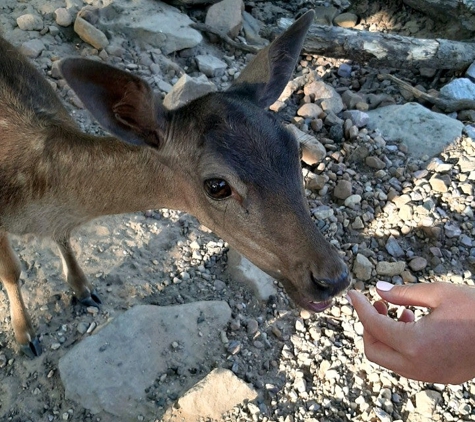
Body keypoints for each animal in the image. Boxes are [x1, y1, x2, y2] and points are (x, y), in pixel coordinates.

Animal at [0, 11, 350, 358]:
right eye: (217, 186)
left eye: (296, 149)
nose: (333, 278)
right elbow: (12, 271)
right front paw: (25, 337)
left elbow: (64, 238)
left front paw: (83, 289)